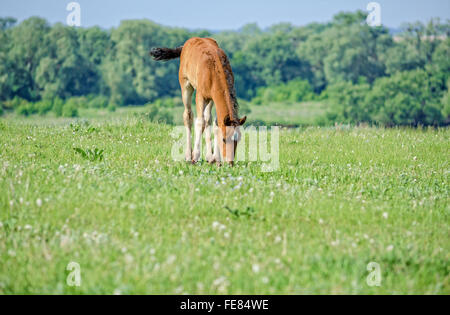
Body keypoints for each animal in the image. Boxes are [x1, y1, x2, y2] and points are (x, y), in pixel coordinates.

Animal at [150, 37, 246, 165]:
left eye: (238, 139)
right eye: (224, 139)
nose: (230, 162)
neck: (214, 70)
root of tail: (186, 44)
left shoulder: (213, 97)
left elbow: (214, 123)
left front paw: (215, 158)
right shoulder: (200, 96)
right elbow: (199, 122)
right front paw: (195, 156)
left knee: (207, 119)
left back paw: (209, 156)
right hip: (186, 85)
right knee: (188, 116)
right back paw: (188, 155)